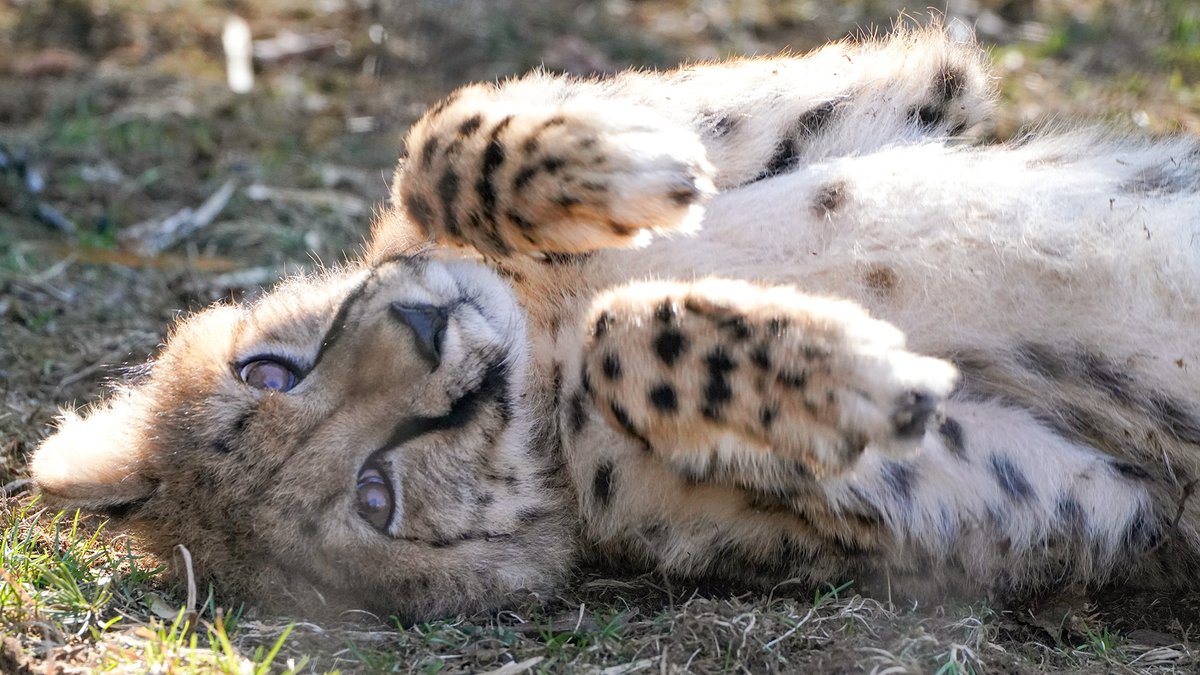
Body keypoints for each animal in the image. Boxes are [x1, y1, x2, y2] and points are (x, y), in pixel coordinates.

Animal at [28, 26, 1200, 621]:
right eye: (375, 497)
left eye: (267, 370)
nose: (425, 332)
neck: (538, 332)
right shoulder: (1092, 505)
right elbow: (625, 343)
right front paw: (862, 373)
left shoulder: (915, 90)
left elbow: (441, 134)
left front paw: (624, 160)